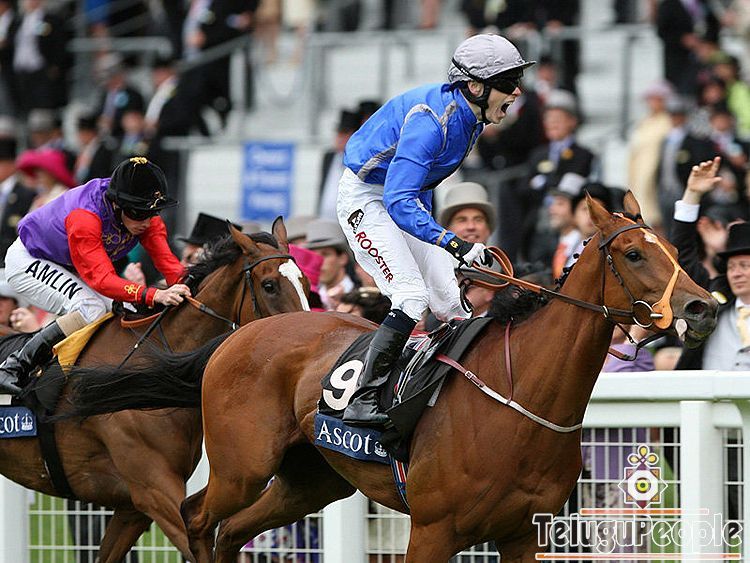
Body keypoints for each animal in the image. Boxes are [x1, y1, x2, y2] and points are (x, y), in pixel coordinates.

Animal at [62, 194, 718, 562]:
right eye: (633, 254)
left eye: (672, 247)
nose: (702, 306)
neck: (520, 394)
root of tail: (235, 337)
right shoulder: (433, 530)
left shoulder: (521, 533)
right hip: (241, 466)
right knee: (197, 521)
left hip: (309, 482)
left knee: (228, 533)